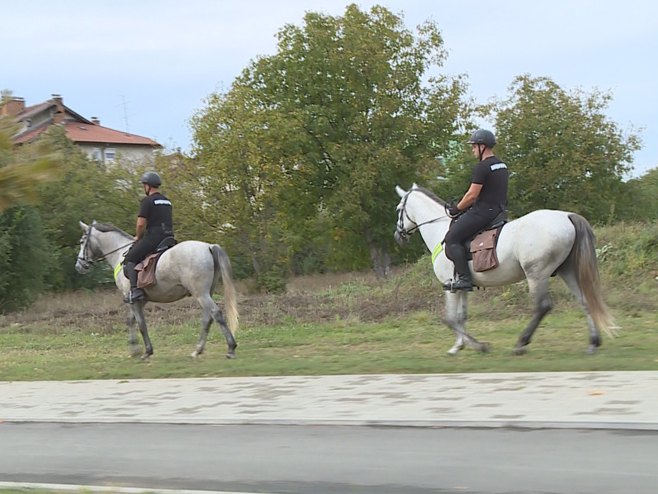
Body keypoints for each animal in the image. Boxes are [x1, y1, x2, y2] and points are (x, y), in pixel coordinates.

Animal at [76, 221, 238, 358]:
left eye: (82, 242)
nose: (79, 266)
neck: (119, 254)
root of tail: (208, 246)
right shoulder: (140, 300)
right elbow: (130, 320)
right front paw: (134, 350)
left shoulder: (132, 299)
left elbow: (141, 324)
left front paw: (147, 351)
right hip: (206, 293)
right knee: (207, 318)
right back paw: (197, 350)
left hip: (200, 294)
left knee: (216, 314)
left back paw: (231, 348)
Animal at [394, 185, 616, 356]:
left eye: (398, 209)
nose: (398, 236)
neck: (441, 230)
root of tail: (567, 216)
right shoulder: (462, 287)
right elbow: (460, 317)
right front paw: (458, 346)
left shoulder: (449, 286)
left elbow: (449, 319)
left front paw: (479, 346)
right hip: (566, 272)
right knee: (584, 301)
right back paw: (593, 343)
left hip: (536, 274)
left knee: (543, 306)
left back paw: (521, 343)